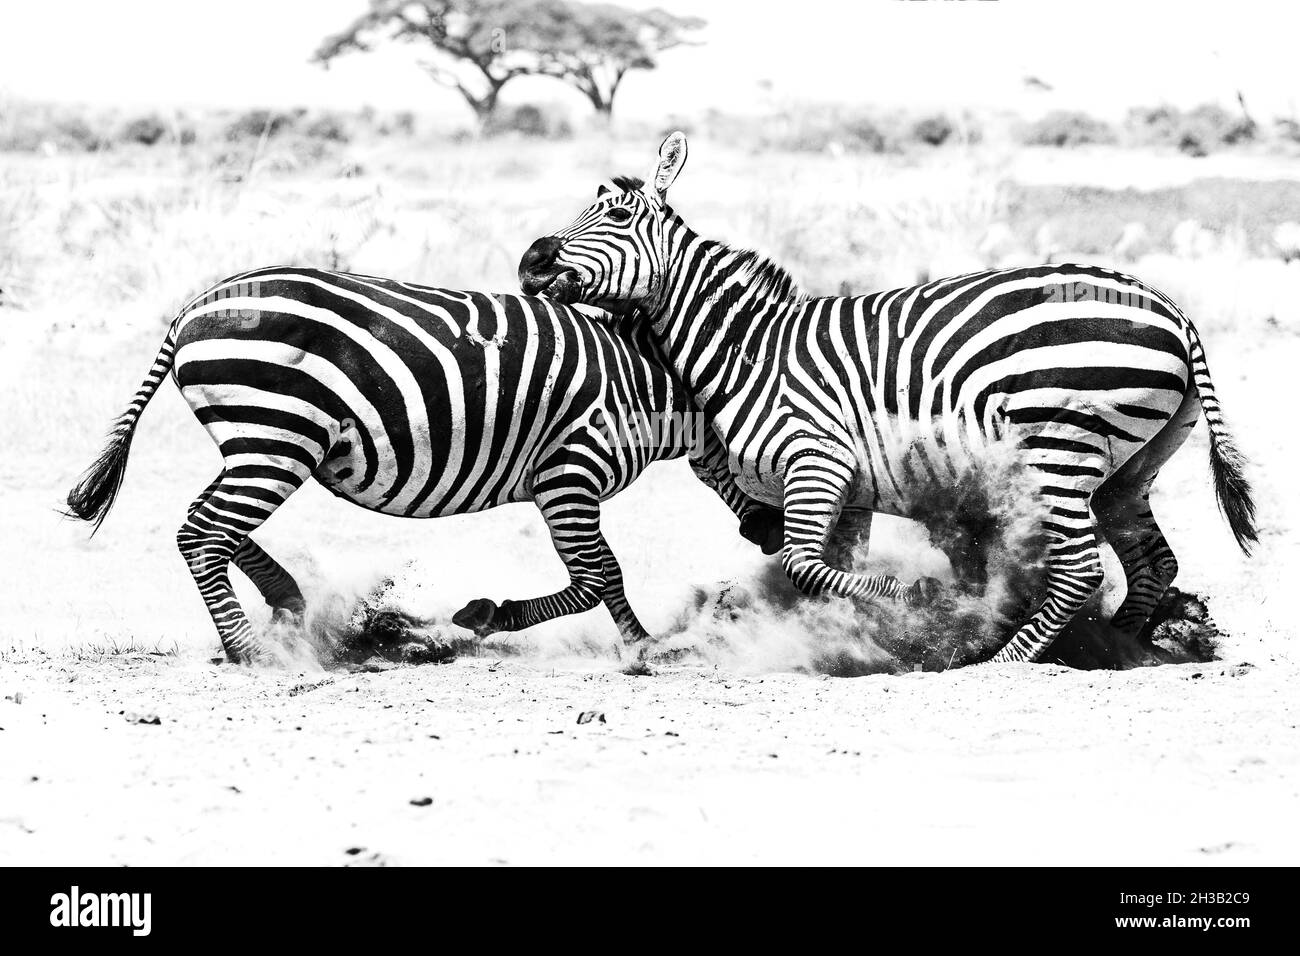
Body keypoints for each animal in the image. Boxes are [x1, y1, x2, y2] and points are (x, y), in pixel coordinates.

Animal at [65, 265, 774, 660]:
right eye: (758, 455)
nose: (770, 536)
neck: (648, 383)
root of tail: (190, 310)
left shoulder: (569, 485)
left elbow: (606, 578)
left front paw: (639, 643)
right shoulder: (569, 474)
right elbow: (597, 577)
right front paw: (491, 615)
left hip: (267, 439)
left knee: (213, 524)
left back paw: (288, 606)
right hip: (278, 432)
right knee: (204, 530)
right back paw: (254, 652)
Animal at [517, 134, 1258, 665]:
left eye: (615, 215)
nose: (530, 262)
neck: (748, 347)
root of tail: (1169, 307)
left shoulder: (815, 460)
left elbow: (801, 564)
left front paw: (912, 602)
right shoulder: (846, 490)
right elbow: (824, 572)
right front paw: (850, 636)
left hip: (1057, 448)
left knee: (1079, 568)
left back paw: (1004, 658)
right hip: (1130, 465)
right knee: (1152, 562)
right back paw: (1116, 646)